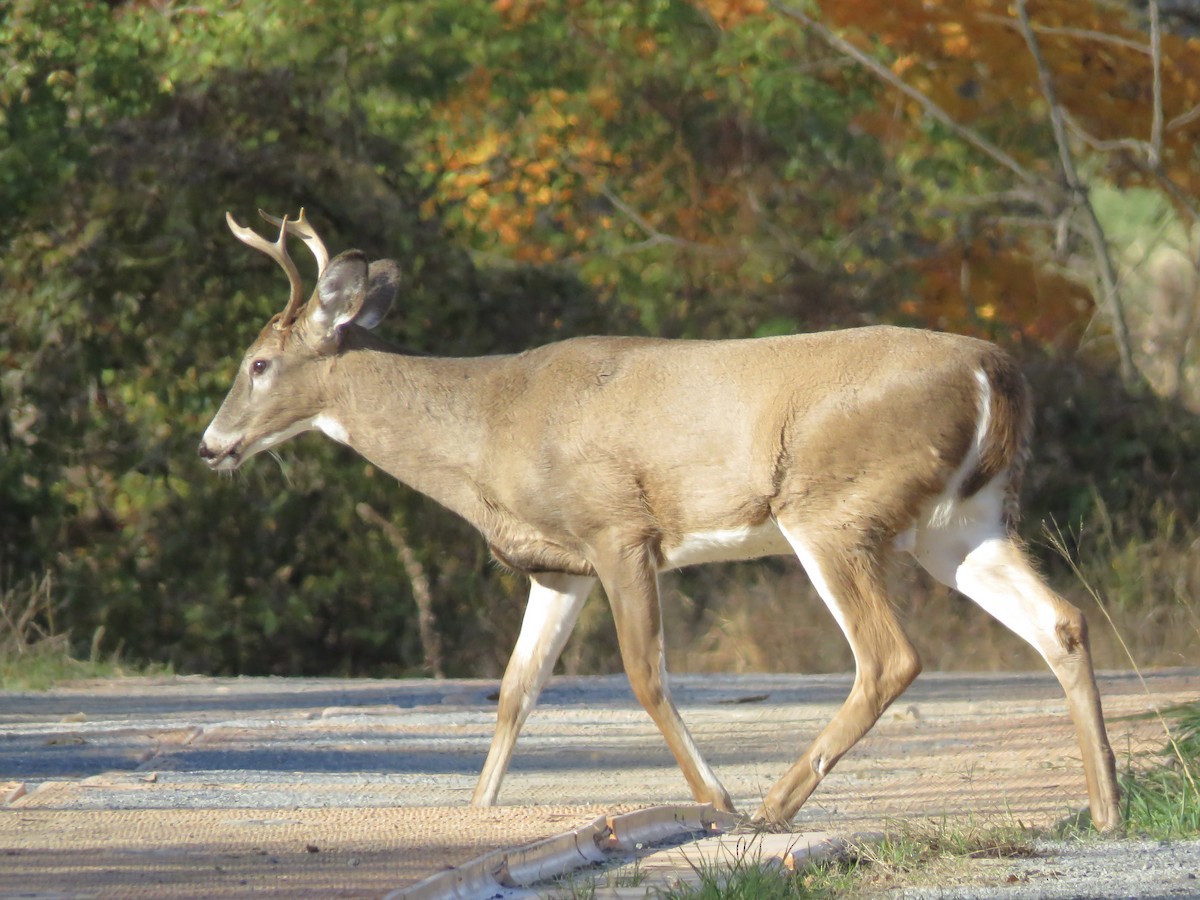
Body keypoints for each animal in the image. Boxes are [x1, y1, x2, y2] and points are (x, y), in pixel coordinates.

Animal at [199, 209, 1121, 830]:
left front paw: (715, 797)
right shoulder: (558, 565)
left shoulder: (619, 530)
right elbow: (516, 690)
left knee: (889, 656)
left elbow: (644, 675)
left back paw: (773, 804)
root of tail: (995, 370)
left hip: (830, 506)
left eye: (258, 362)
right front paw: (479, 806)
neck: (490, 429)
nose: (211, 446)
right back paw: (1107, 805)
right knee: (1061, 622)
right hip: (958, 523)